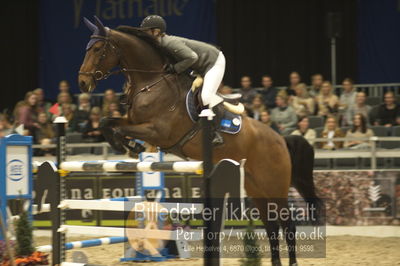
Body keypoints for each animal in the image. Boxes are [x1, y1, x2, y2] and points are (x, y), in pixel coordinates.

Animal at [79, 16, 322, 266]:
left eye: (97, 49)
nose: (82, 83)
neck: (152, 81)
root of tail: (280, 139)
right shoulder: (133, 120)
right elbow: (108, 121)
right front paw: (128, 146)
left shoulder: (158, 131)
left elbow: (119, 128)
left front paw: (128, 146)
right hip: (256, 188)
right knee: (271, 226)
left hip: (274, 185)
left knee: (287, 224)